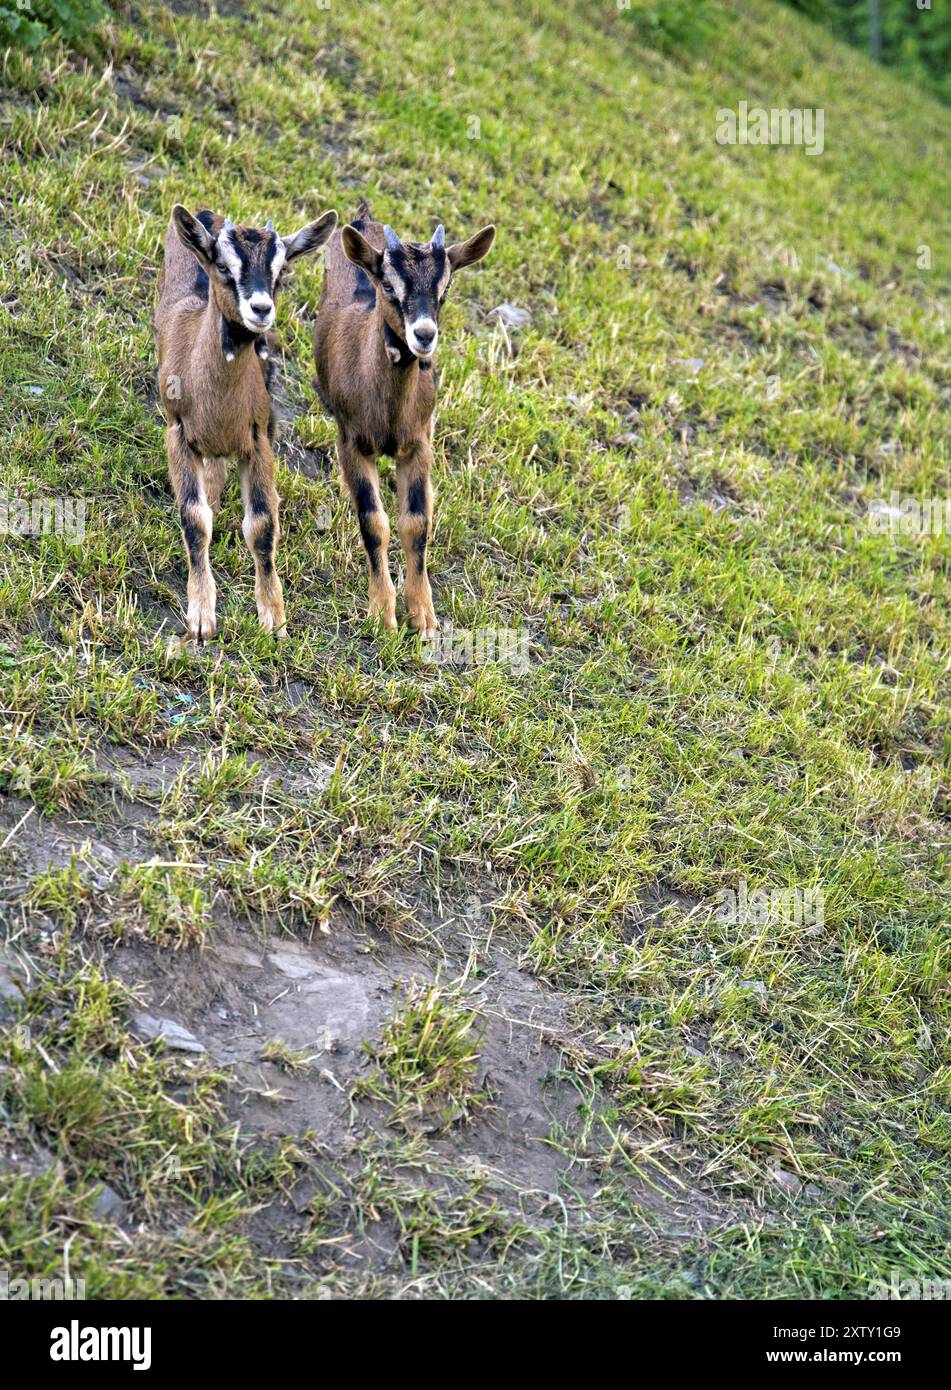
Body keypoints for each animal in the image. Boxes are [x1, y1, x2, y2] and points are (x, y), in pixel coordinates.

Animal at [154, 204, 336, 644]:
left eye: (280, 270)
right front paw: (201, 618)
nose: (261, 309)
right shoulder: (177, 433)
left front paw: (273, 618)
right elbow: (194, 519)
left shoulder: (257, 440)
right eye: (222, 265)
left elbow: (262, 525)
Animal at [315, 202, 497, 636]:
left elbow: (415, 523)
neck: (388, 415)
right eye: (388, 286)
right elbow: (373, 521)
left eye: (444, 290)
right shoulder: (352, 443)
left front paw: (424, 617)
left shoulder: (417, 445)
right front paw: (383, 613)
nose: (424, 335)